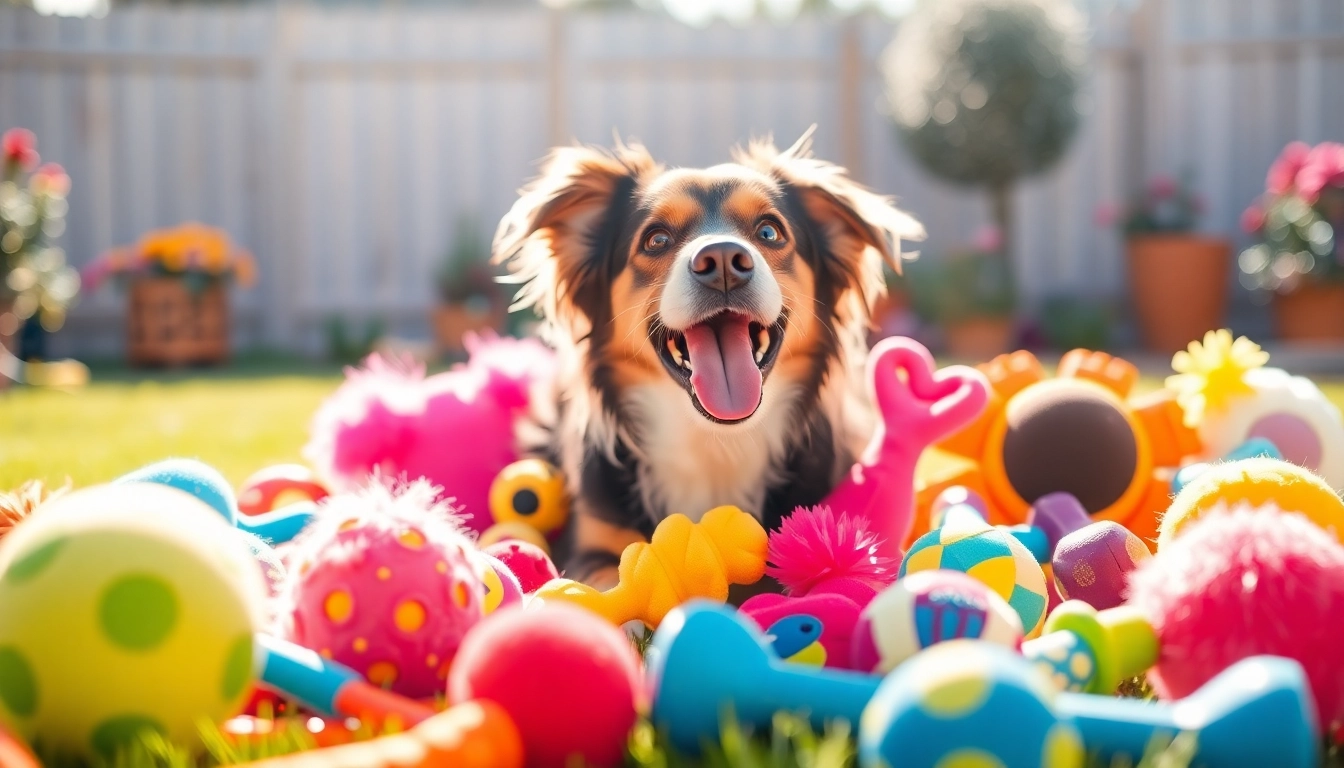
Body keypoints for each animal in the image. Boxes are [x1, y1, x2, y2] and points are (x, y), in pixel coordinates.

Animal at [494, 130, 924, 589]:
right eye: (656, 239)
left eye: (769, 231)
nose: (722, 260)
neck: (716, 442)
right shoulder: (591, 545)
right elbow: (608, 582)